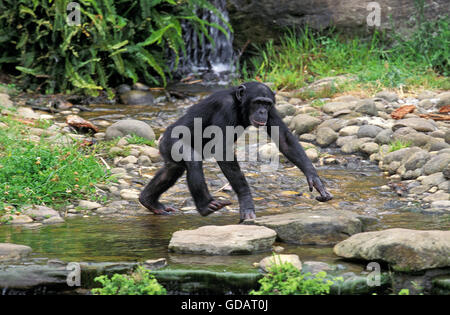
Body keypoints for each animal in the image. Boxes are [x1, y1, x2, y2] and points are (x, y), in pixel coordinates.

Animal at [139, 82, 332, 223]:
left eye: (267, 103)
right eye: (257, 102)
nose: (262, 111)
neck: (240, 105)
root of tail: (162, 137)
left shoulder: (273, 112)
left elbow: (285, 140)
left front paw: (315, 180)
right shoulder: (225, 107)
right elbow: (222, 149)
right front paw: (246, 202)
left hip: (168, 152)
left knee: (172, 170)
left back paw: (149, 201)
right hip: (170, 142)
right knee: (192, 160)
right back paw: (205, 206)